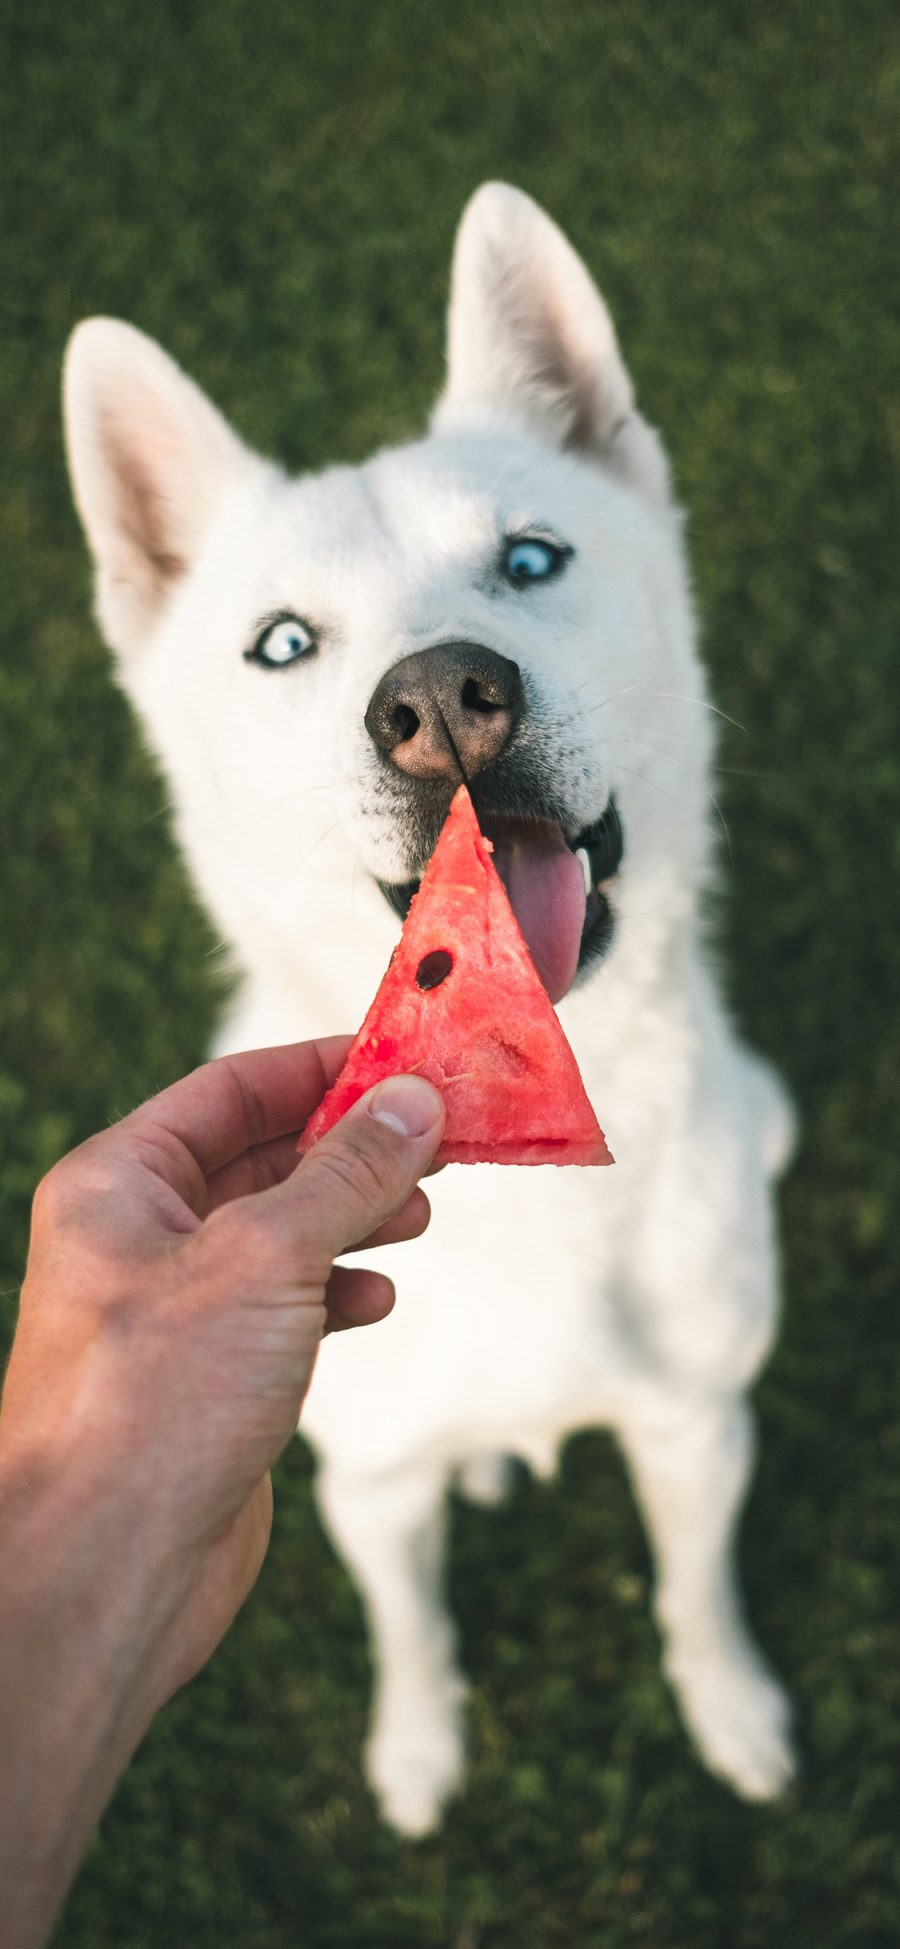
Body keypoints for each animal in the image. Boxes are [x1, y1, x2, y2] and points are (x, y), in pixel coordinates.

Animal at [63, 179, 794, 1824]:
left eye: (530, 560)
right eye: (282, 641)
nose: (442, 697)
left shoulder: (698, 1429)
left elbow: (697, 1593)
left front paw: (731, 1710)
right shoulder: (370, 1484)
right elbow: (413, 1629)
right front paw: (417, 1753)